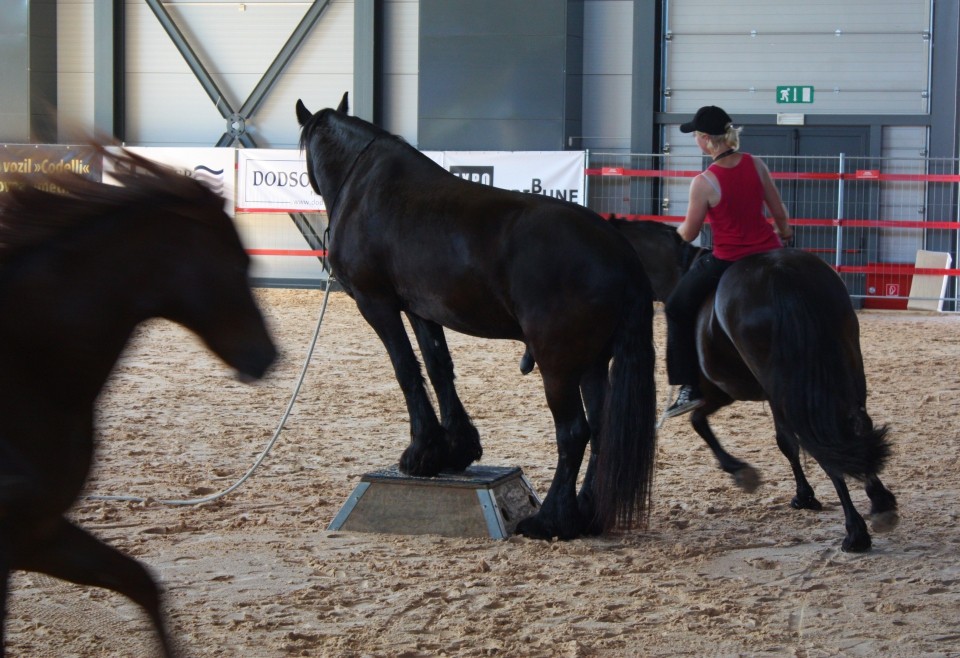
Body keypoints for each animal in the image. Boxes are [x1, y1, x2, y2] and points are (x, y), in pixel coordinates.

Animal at [298, 95, 660, 540]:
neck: (365, 186)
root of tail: (619, 251)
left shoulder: (376, 302)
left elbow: (406, 369)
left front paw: (421, 451)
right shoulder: (421, 309)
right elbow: (438, 367)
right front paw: (456, 448)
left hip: (559, 365)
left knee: (574, 432)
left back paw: (550, 520)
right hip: (592, 363)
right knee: (603, 429)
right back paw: (588, 514)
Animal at [608, 218, 900, 552]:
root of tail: (781, 275)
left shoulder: (724, 390)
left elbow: (764, 438)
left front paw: (759, 479)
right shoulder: (735, 394)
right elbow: (712, 424)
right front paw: (790, 489)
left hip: (784, 386)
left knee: (819, 440)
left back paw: (856, 531)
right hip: (846, 366)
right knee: (855, 426)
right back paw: (881, 504)